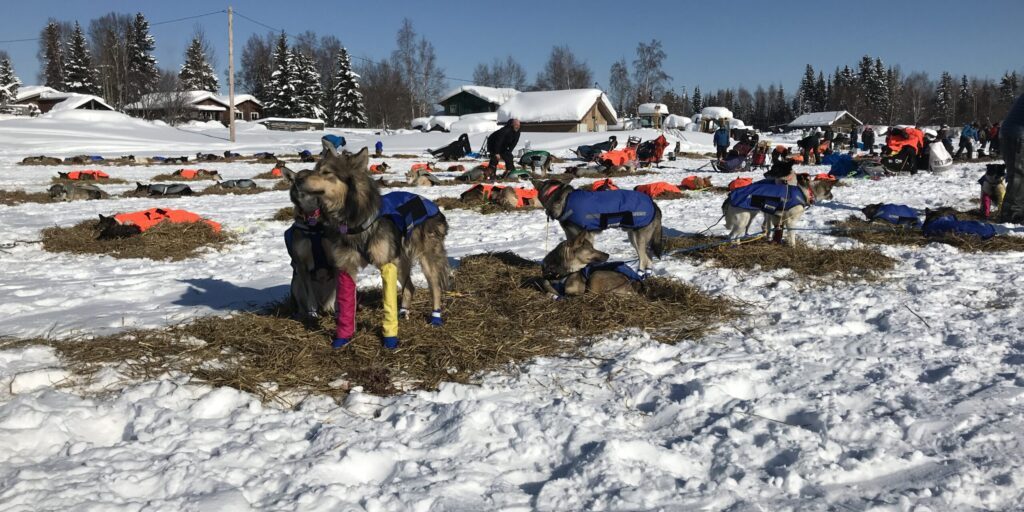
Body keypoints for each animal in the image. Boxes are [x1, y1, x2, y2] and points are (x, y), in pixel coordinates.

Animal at [532, 178, 667, 272]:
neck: (564, 201)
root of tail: (654, 205)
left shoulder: (585, 235)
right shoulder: (571, 236)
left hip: (638, 239)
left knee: (644, 260)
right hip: (633, 238)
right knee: (648, 259)